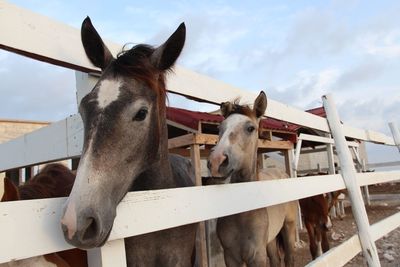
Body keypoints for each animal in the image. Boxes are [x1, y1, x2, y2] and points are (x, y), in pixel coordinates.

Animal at [206, 91, 296, 266]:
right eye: (220, 128)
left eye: (250, 128)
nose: (216, 162)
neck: (243, 214)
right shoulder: (231, 256)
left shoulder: (257, 256)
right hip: (271, 240)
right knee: (276, 259)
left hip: (289, 227)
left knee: (289, 258)